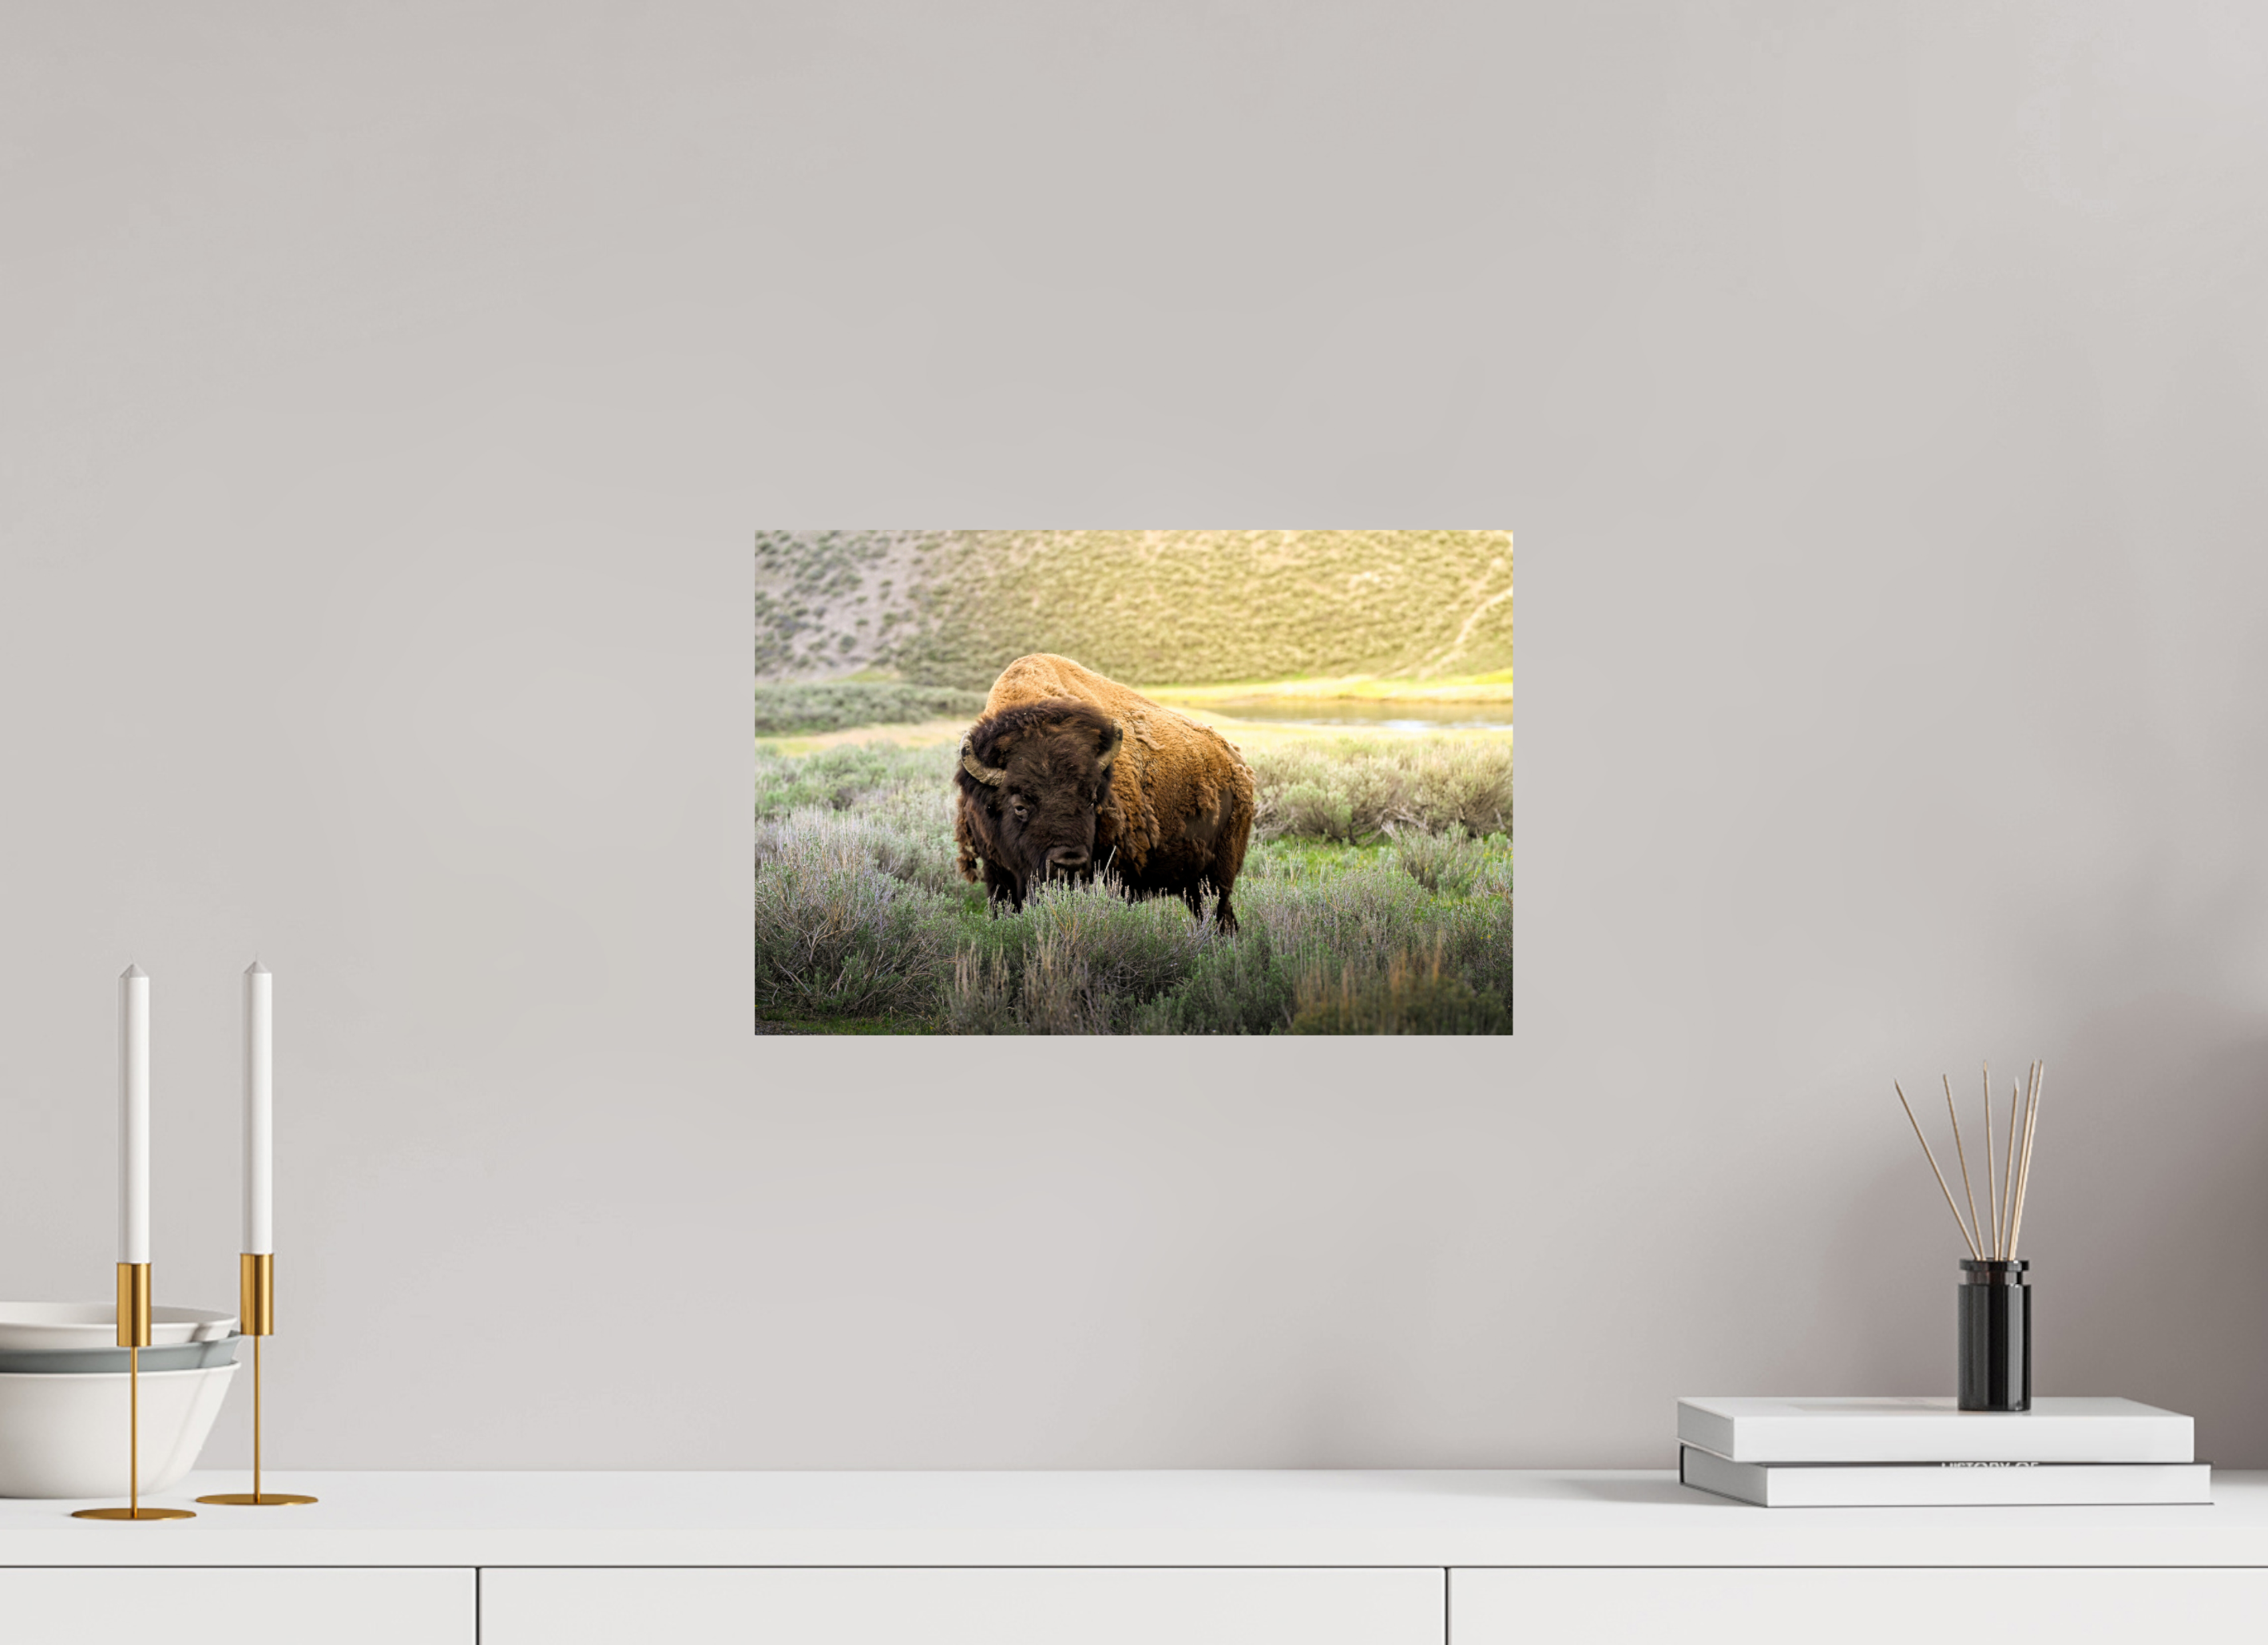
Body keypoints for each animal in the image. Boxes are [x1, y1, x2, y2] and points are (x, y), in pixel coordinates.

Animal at [953, 654, 1256, 931]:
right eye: (1020, 806)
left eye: (1091, 800)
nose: (1069, 863)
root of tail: (1237, 763)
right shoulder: (999, 874)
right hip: (1192, 885)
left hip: (1216, 879)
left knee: (1222, 916)